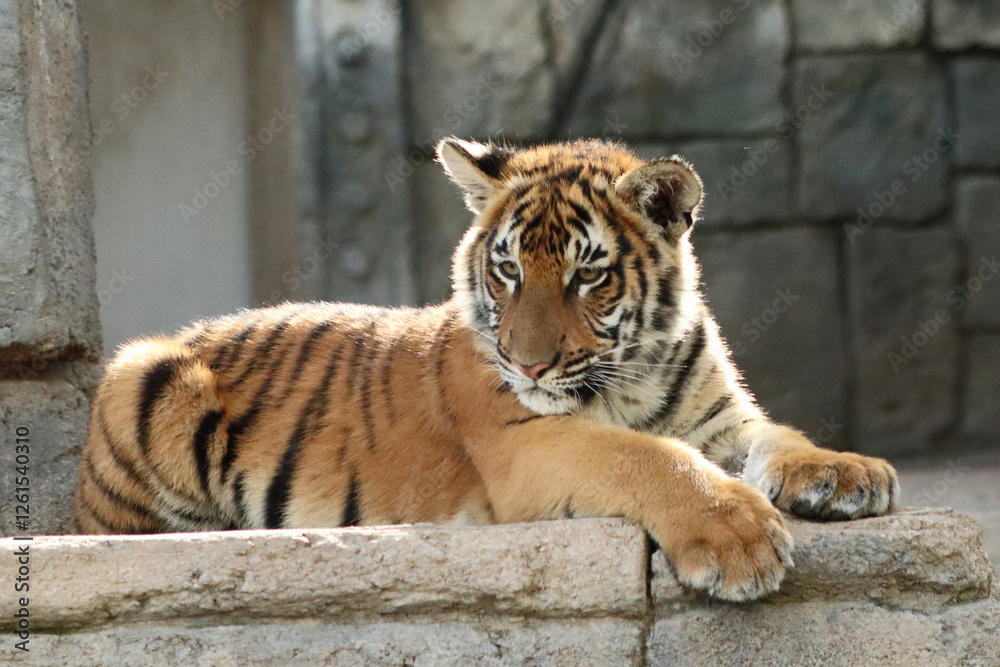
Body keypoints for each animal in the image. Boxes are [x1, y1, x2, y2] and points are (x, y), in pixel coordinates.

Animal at [72, 137, 899, 602]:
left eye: (587, 276)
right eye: (507, 270)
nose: (527, 362)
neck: (634, 369)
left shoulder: (723, 419)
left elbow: (782, 436)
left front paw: (849, 472)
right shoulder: (524, 441)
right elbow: (645, 456)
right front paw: (737, 540)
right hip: (140, 373)